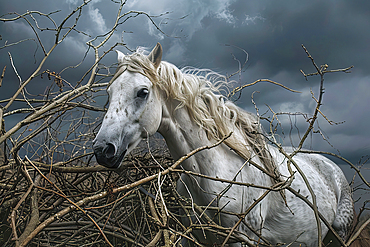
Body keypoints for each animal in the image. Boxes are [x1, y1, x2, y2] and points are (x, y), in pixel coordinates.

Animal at [92, 43, 352, 246]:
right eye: (109, 93)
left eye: (142, 92)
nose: (102, 150)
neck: (212, 173)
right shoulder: (192, 236)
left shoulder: (242, 239)